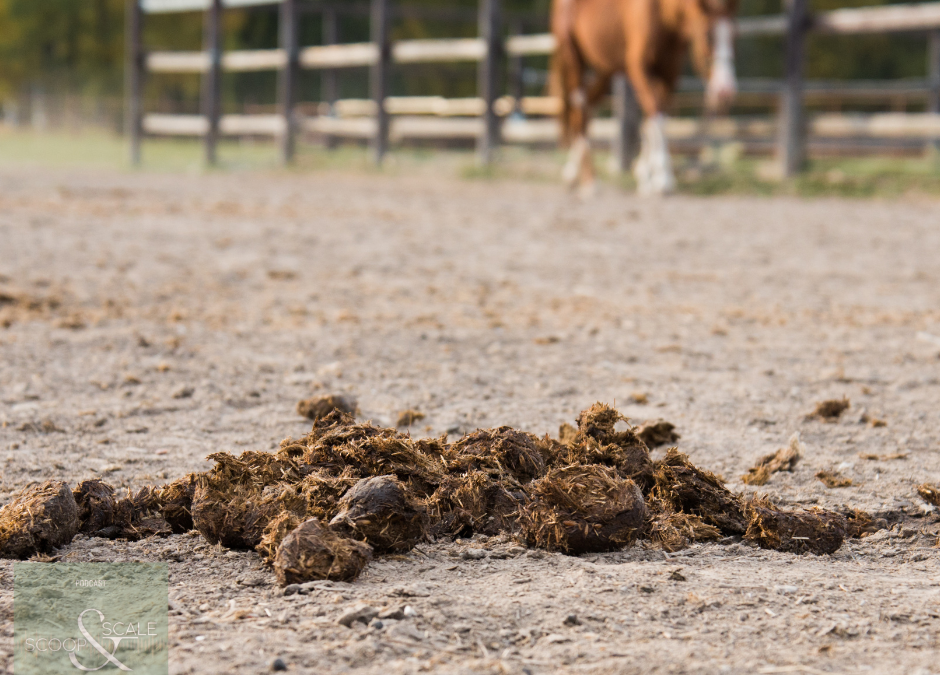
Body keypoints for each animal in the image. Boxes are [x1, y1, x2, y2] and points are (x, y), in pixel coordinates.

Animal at [552, 0, 740, 197]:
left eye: (735, 35)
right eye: (707, 36)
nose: (725, 90)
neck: (663, 15)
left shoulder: (669, 72)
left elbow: (654, 118)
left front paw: (644, 175)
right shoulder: (639, 68)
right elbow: (656, 116)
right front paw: (663, 180)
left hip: (605, 69)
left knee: (586, 108)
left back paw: (573, 171)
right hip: (573, 60)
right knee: (580, 109)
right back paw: (590, 180)